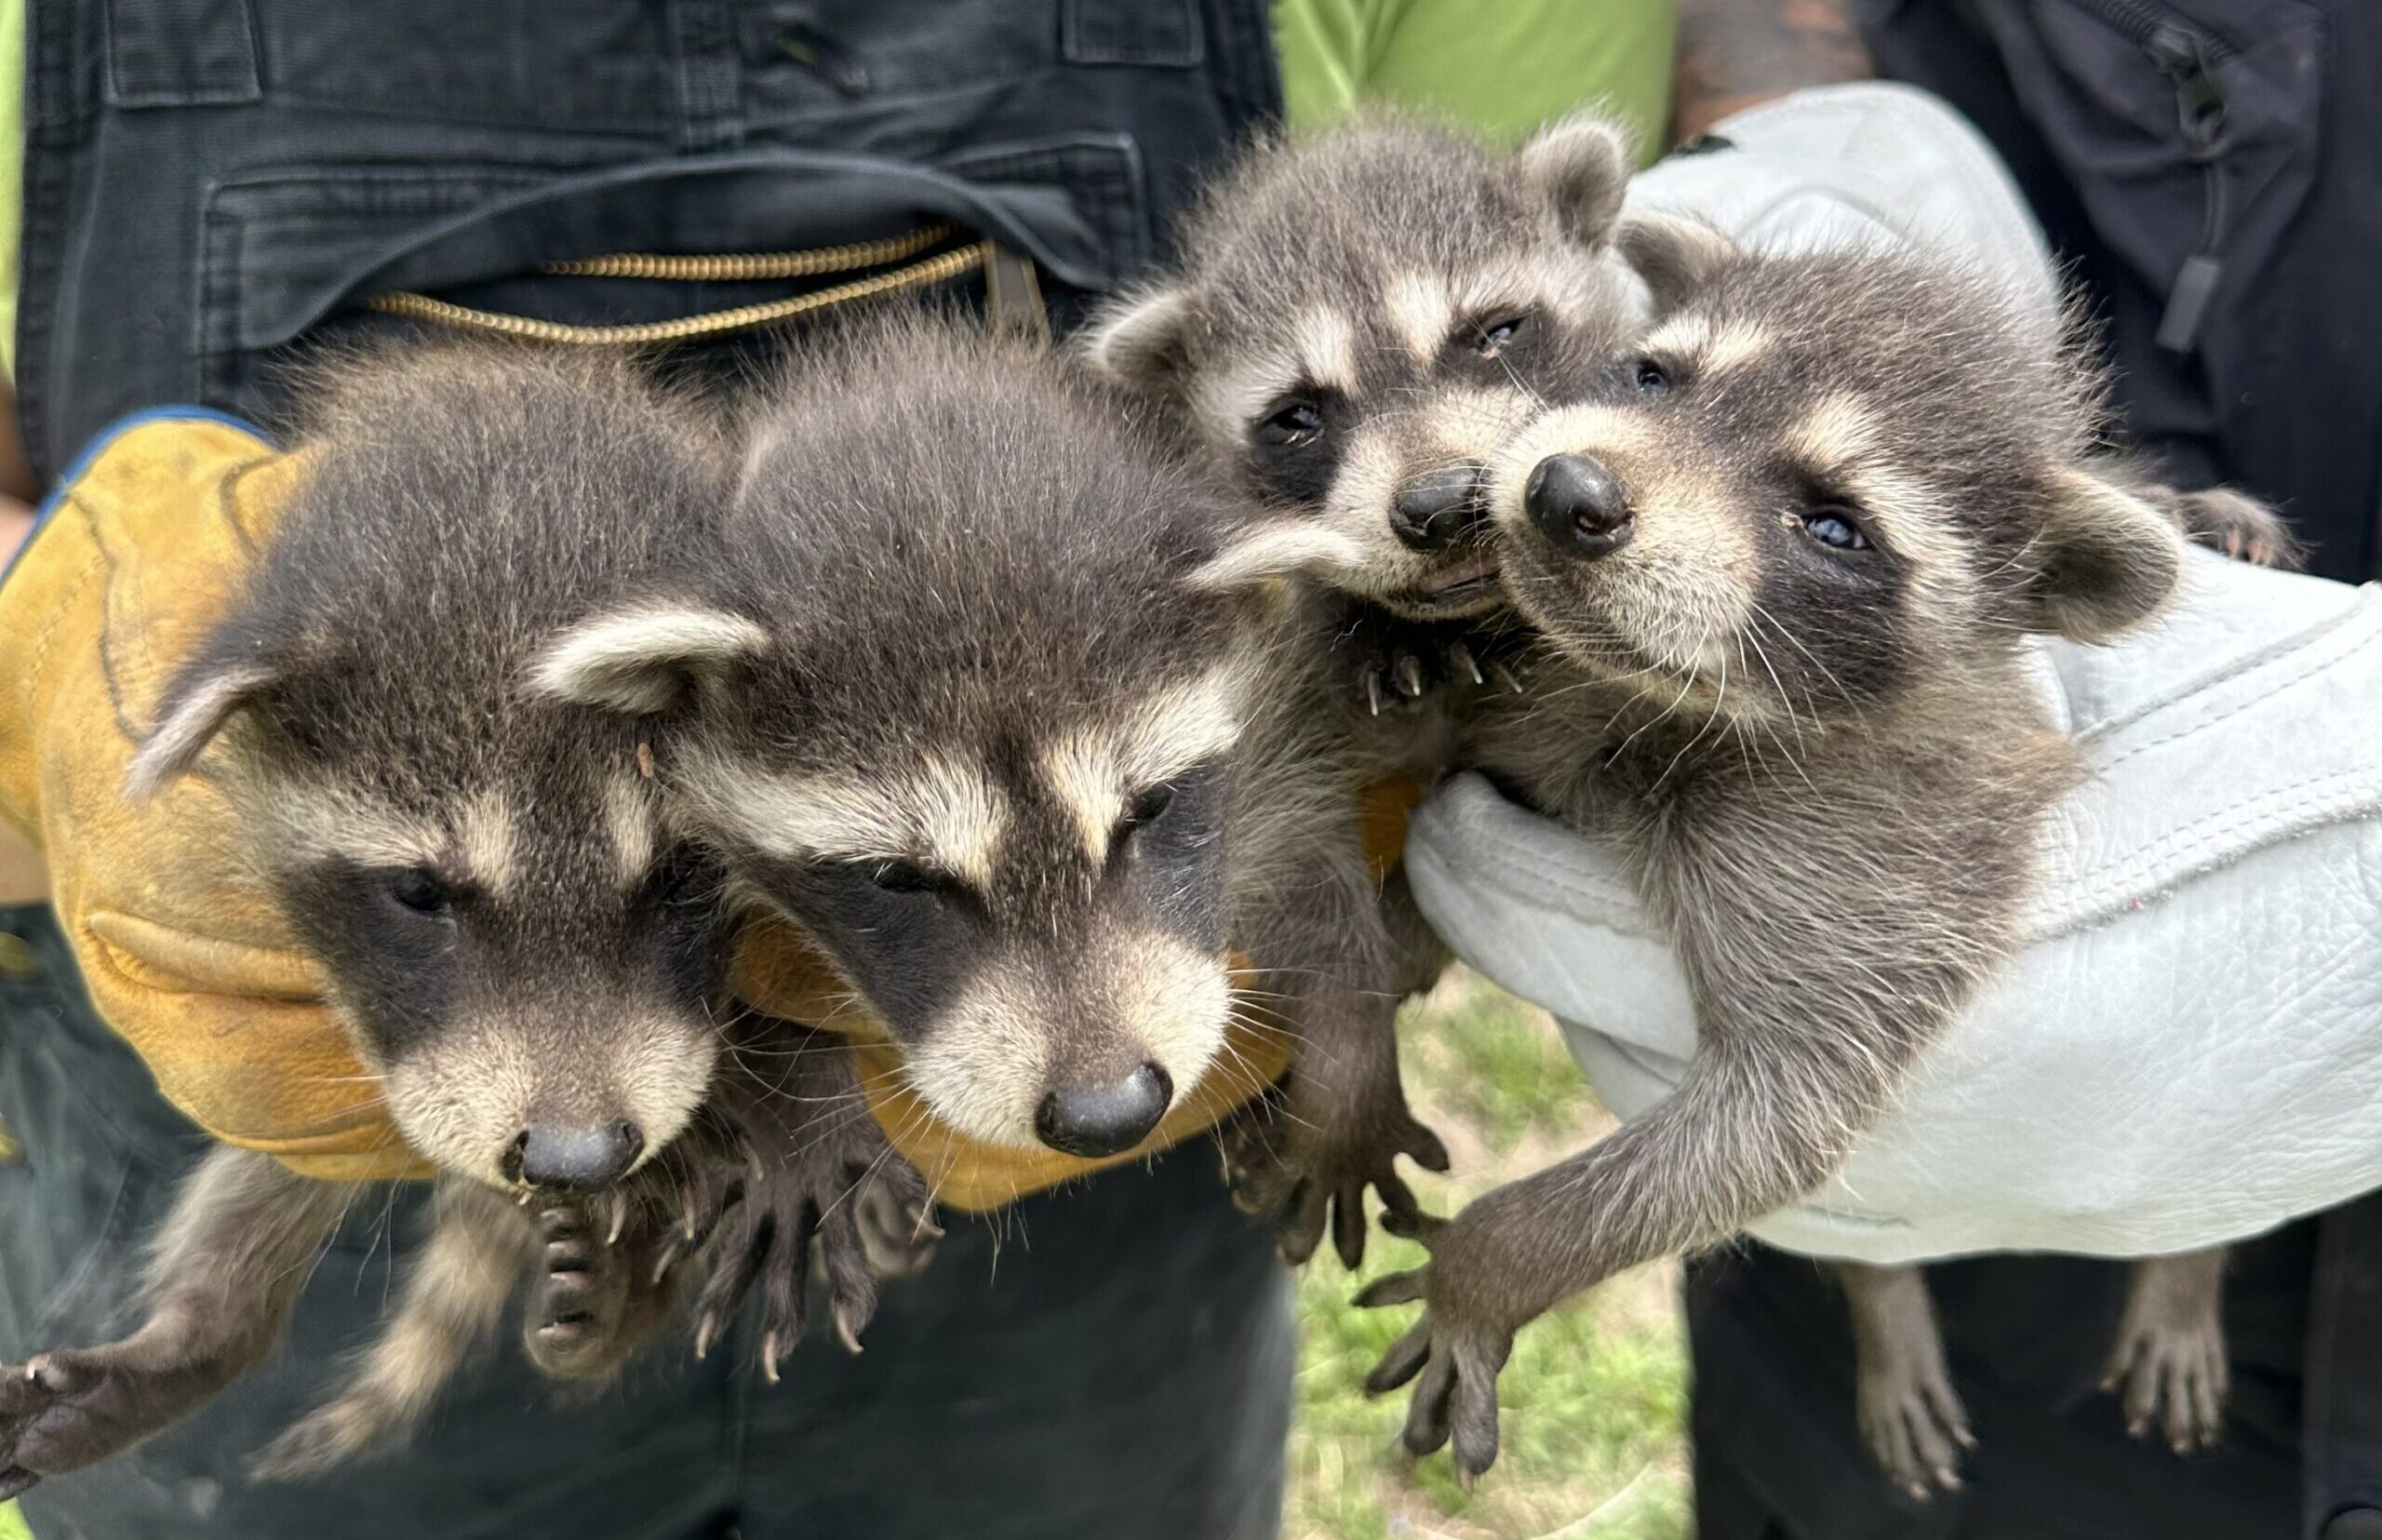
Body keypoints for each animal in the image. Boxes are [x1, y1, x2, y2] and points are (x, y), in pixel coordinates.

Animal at [532, 309, 1443, 1280]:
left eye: (1148, 809)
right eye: (898, 877)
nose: (1109, 1112)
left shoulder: (1273, 722)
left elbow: (1316, 881)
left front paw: (1348, 1075)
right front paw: (799, 1114)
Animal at [1355, 226, 2245, 1487]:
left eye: (1835, 525)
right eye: (1653, 376)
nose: (1568, 491)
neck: (1652, 693)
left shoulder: (1872, 844)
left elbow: (1774, 1118)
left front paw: (1493, 1258)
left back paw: (2181, 1267)